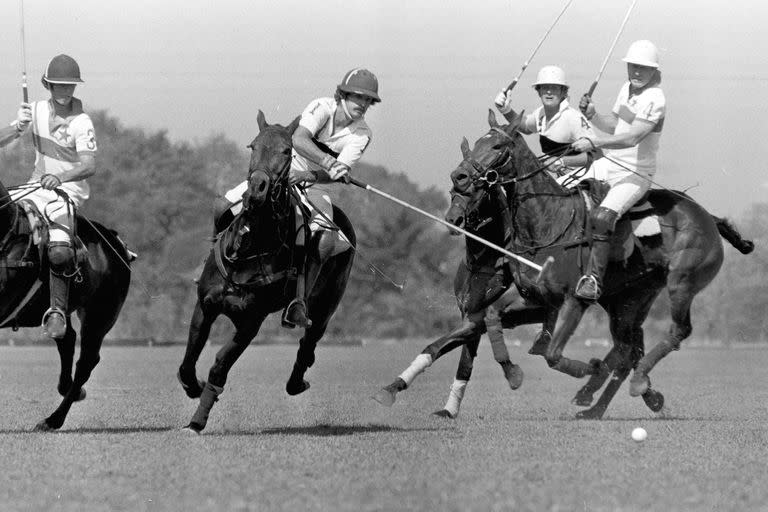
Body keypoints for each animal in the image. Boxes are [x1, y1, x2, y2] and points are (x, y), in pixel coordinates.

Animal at [176, 111, 356, 432]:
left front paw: (198, 420)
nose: (257, 190)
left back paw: (297, 382)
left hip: (326, 304)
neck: (250, 247)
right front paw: (193, 388)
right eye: (252, 146)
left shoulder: (251, 321)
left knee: (309, 340)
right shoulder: (205, 306)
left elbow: (219, 365)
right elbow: (188, 361)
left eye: (287, 151)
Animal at [376, 110, 752, 418]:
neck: (543, 226)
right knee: (628, 348)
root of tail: (708, 216)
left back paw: (626, 386)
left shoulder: (569, 300)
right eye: (474, 148)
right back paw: (603, 401)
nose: (460, 177)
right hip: (630, 300)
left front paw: (585, 369)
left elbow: (550, 353)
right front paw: (393, 389)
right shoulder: (523, 300)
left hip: (680, 282)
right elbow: (460, 335)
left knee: (673, 332)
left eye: (498, 145)